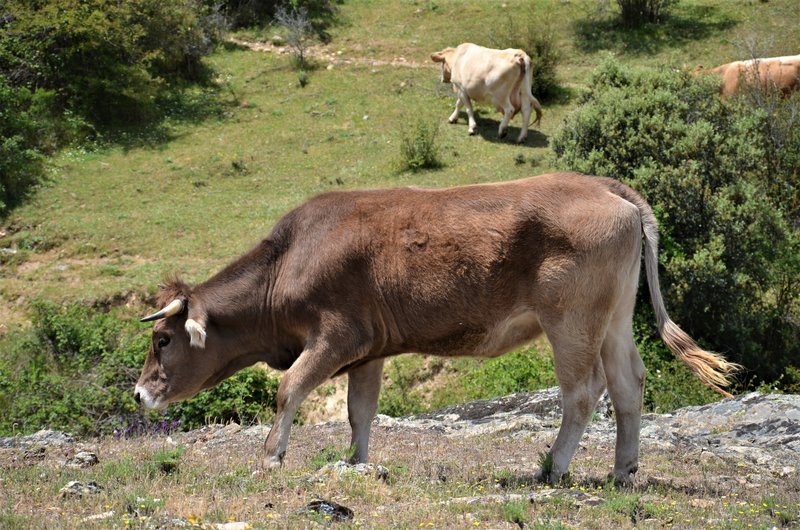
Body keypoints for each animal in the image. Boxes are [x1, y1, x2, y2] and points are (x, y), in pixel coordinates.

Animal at [136, 172, 736, 482]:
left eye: (163, 340)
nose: (139, 393)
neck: (289, 260)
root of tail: (603, 186)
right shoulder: (369, 347)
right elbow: (360, 412)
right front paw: (356, 463)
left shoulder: (336, 335)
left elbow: (289, 389)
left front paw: (271, 455)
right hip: (612, 318)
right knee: (629, 384)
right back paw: (622, 472)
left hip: (571, 318)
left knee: (584, 392)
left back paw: (552, 467)